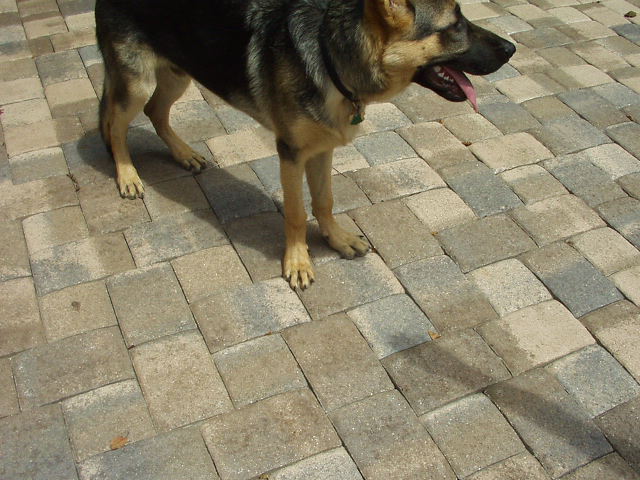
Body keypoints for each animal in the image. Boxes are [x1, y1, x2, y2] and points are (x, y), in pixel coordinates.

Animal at [95, 0, 515, 289]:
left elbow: (324, 201)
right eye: (455, 25)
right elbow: (297, 213)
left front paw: (336, 239)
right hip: (138, 81)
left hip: (176, 72)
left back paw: (183, 154)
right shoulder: (292, 155)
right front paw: (298, 262)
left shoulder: (322, 149)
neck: (331, 55)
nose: (512, 48)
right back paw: (127, 175)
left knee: (155, 112)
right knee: (115, 126)